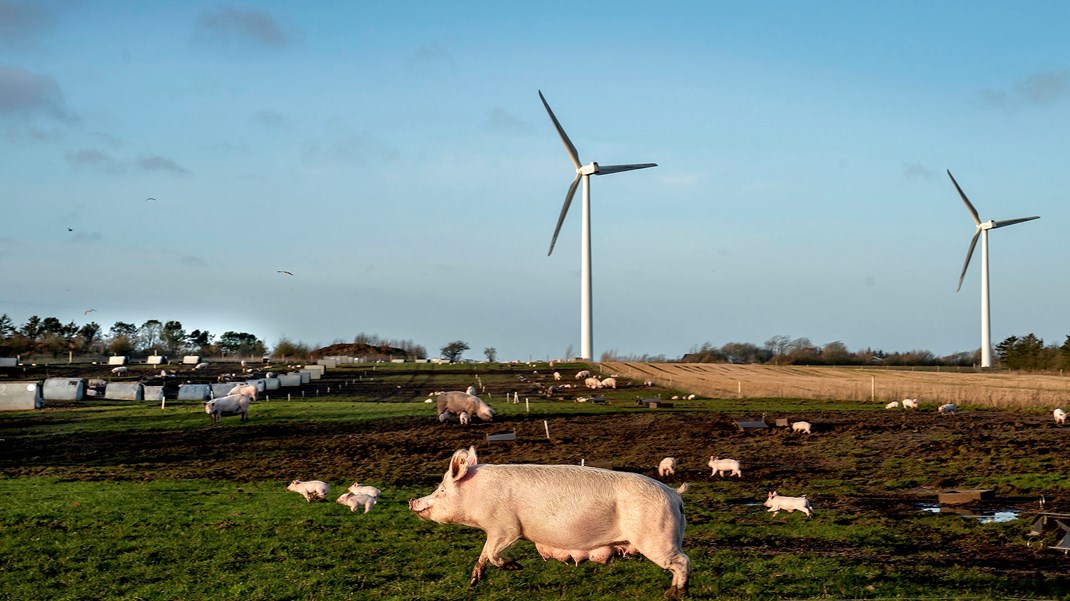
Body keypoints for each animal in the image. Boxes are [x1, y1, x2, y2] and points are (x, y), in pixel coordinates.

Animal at [404, 444, 689, 594]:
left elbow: (494, 553)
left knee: (682, 561)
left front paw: (516, 567)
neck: (477, 496)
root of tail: (675, 495)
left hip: (655, 538)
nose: (411, 501)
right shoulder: (492, 531)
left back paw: (675, 595)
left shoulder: (506, 527)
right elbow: (484, 554)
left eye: (441, 489)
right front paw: (472, 584)